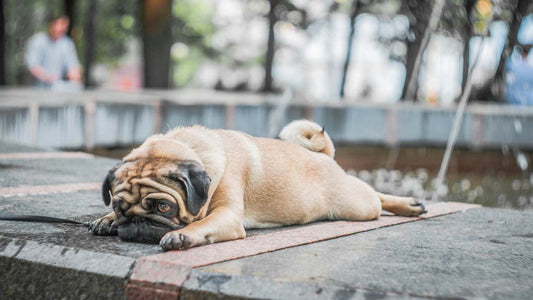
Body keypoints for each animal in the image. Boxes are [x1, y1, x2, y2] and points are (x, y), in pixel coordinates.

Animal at [90, 119, 424, 251]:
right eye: (120, 208)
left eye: (163, 207)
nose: (136, 223)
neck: (191, 147)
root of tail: (321, 156)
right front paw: (106, 220)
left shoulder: (227, 216)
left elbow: (201, 223)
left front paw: (182, 235)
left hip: (356, 205)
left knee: (375, 197)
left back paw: (408, 204)